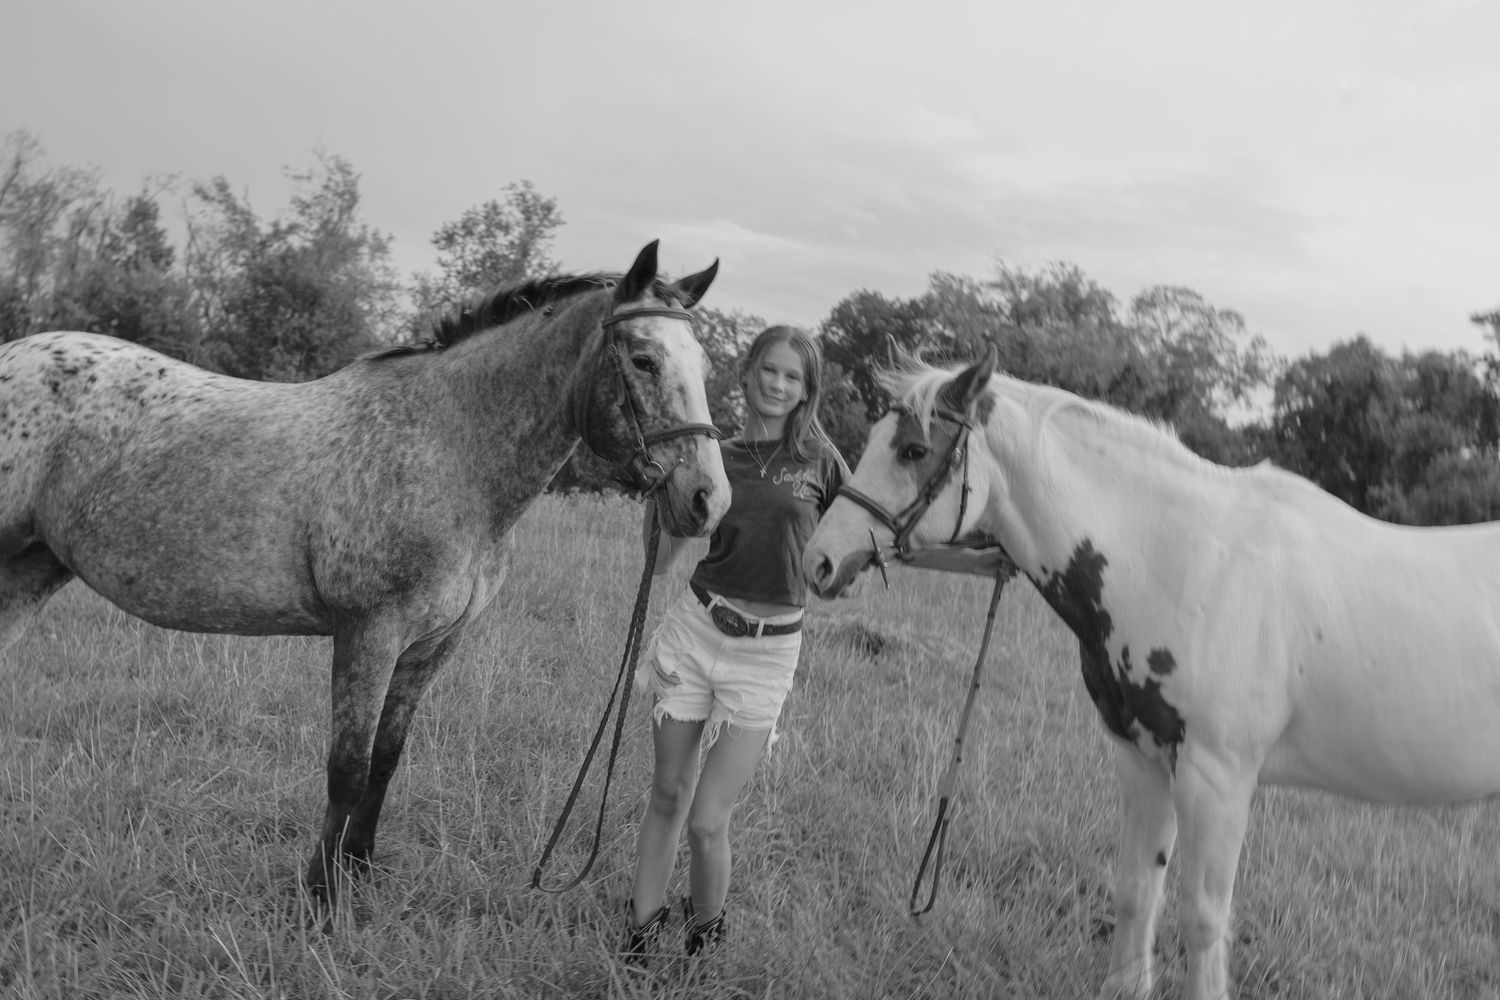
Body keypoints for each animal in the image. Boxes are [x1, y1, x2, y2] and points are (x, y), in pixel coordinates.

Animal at [0, 239, 730, 908]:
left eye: (703, 363)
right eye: (644, 359)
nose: (707, 500)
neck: (446, 449)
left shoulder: (432, 645)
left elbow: (385, 759)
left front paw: (360, 870)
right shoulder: (369, 634)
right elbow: (347, 770)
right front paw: (321, 896)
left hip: (33, 570)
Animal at [802, 348, 1500, 1000]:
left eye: (915, 449)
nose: (820, 560)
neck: (1189, 564)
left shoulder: (1216, 780)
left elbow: (1203, 919)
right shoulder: (1142, 759)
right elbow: (1137, 889)